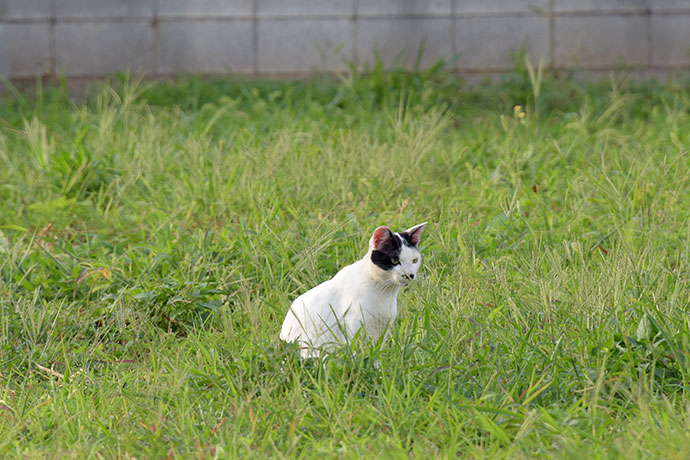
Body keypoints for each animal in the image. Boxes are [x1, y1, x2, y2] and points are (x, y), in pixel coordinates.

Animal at [280, 221, 424, 358]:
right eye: (395, 260)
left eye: (414, 260)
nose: (410, 275)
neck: (382, 289)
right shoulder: (355, 325)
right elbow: (360, 352)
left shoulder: (382, 329)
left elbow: (376, 353)